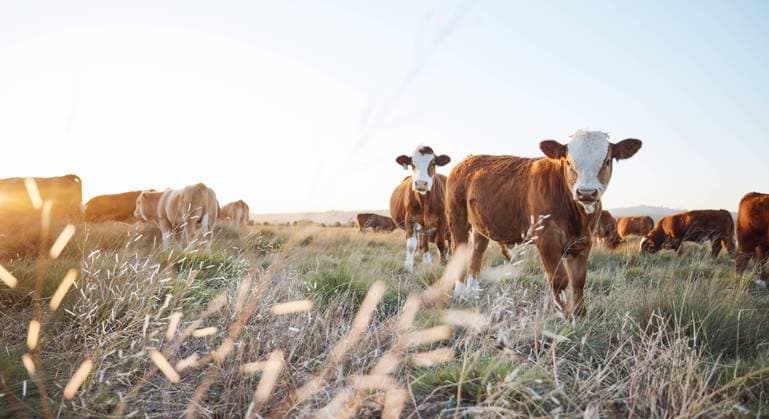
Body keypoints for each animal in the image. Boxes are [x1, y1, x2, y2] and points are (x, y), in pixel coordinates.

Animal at [446, 130, 642, 314]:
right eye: (568, 162)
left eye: (607, 161)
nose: (586, 192)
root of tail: (468, 159)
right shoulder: (547, 238)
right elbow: (559, 279)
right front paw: (561, 315)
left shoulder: (584, 241)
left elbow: (578, 280)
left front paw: (579, 315)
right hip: (457, 218)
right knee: (459, 250)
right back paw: (461, 293)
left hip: (481, 226)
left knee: (476, 254)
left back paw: (473, 292)